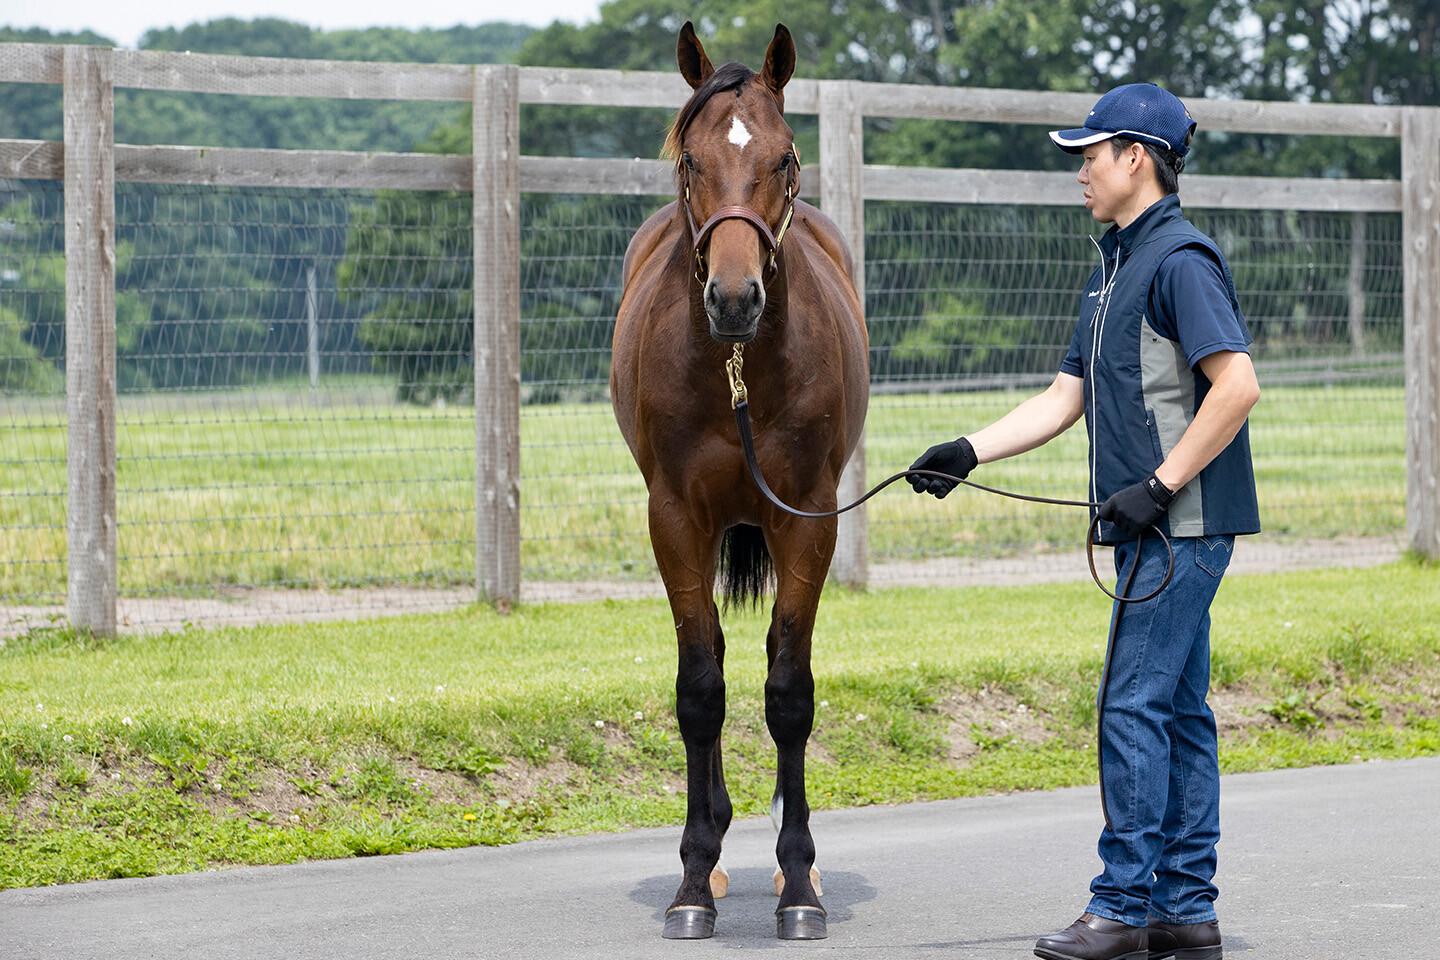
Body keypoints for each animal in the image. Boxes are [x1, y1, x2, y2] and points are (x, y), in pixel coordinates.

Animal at [607, 22, 864, 944]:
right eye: (691, 158)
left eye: (786, 157)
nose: (733, 297)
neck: (738, 370)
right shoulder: (675, 517)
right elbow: (699, 689)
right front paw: (692, 880)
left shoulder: (810, 517)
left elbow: (789, 691)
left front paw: (799, 884)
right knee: (714, 654)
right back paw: (714, 853)